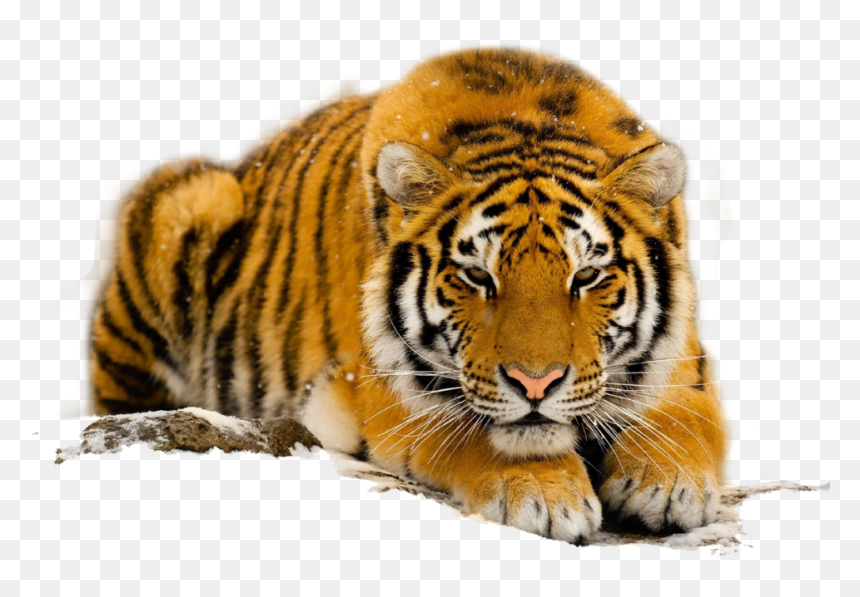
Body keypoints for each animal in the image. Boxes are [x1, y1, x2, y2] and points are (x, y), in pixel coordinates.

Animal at [90, 48, 726, 543]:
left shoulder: (685, 364)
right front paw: (544, 495)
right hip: (189, 201)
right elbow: (473, 429)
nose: (536, 383)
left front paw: (669, 484)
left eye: (586, 276)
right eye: (478, 277)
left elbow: (685, 419)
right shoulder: (381, 388)